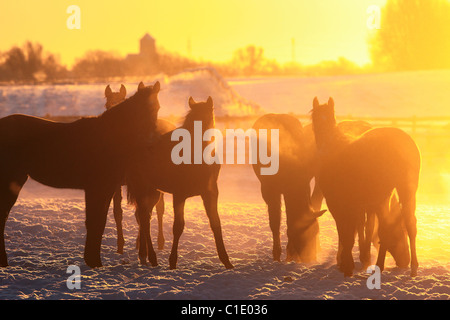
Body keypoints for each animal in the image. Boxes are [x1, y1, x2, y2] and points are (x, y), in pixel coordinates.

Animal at [0, 80, 161, 268]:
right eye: (140, 110)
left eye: (157, 107)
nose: (151, 141)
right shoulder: (97, 188)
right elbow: (95, 221)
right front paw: (94, 261)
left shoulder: (106, 189)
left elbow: (99, 221)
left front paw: (93, 260)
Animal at [104, 84, 176, 252]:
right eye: (107, 104)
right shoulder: (118, 183)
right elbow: (118, 212)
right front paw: (120, 244)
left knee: (159, 209)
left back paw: (159, 241)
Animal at [126, 96, 232, 268]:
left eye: (208, 117)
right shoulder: (179, 195)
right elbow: (178, 227)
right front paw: (172, 262)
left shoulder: (210, 193)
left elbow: (216, 223)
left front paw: (227, 261)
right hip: (142, 188)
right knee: (144, 218)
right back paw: (151, 257)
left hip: (154, 192)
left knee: (143, 217)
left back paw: (144, 255)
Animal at [251, 114, 326, 264]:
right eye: (304, 233)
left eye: (316, 231)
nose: (311, 260)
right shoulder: (269, 191)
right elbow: (274, 222)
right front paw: (277, 255)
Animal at [312, 97, 420, 278]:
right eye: (315, 119)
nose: (403, 261)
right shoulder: (362, 204)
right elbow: (355, 231)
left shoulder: (341, 205)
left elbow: (347, 233)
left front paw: (348, 264)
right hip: (403, 191)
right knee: (407, 224)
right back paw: (407, 266)